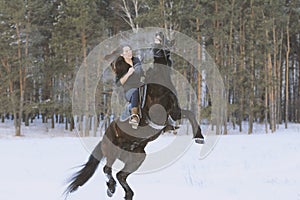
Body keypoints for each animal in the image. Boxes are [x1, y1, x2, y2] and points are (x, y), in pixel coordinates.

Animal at [63, 38, 204, 200]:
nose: (159, 37)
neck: (159, 86)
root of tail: (105, 136)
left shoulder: (175, 112)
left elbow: (191, 114)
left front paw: (199, 137)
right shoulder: (160, 115)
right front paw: (198, 137)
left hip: (137, 157)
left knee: (121, 175)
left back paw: (127, 194)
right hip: (112, 152)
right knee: (107, 169)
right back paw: (111, 188)